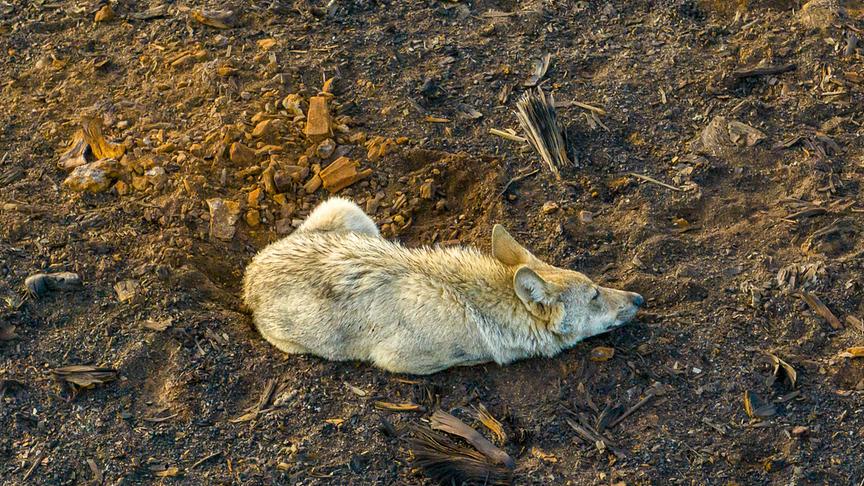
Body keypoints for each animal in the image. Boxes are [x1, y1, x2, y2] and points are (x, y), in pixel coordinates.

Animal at [242, 197, 644, 375]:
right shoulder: (399, 360)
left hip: (348, 211)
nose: (639, 298)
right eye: (594, 295)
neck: (479, 304)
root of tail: (251, 271)